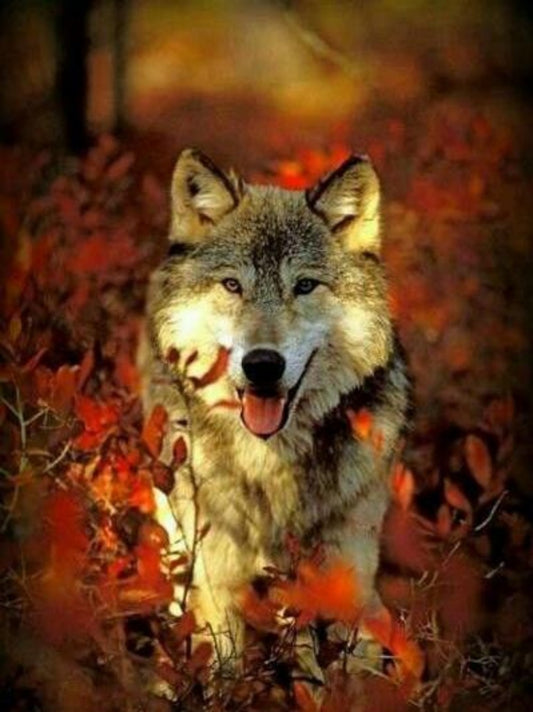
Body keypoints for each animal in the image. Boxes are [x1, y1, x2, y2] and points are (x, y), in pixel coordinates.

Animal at [139, 148, 410, 661]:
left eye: (303, 286)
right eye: (232, 285)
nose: (262, 364)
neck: (270, 463)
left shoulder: (348, 579)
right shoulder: (217, 584)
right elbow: (224, 667)